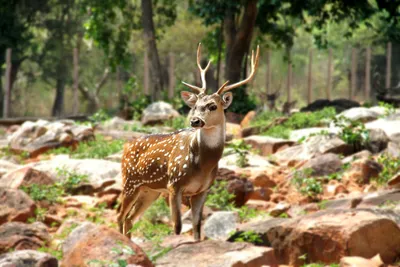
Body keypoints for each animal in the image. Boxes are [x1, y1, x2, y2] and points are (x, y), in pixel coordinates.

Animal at [117, 44, 260, 241]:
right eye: (195, 106)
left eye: (213, 106)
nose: (195, 121)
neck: (202, 165)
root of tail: (125, 146)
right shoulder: (174, 184)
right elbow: (177, 226)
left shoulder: (203, 189)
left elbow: (197, 228)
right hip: (130, 181)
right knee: (120, 216)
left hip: (150, 190)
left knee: (130, 219)